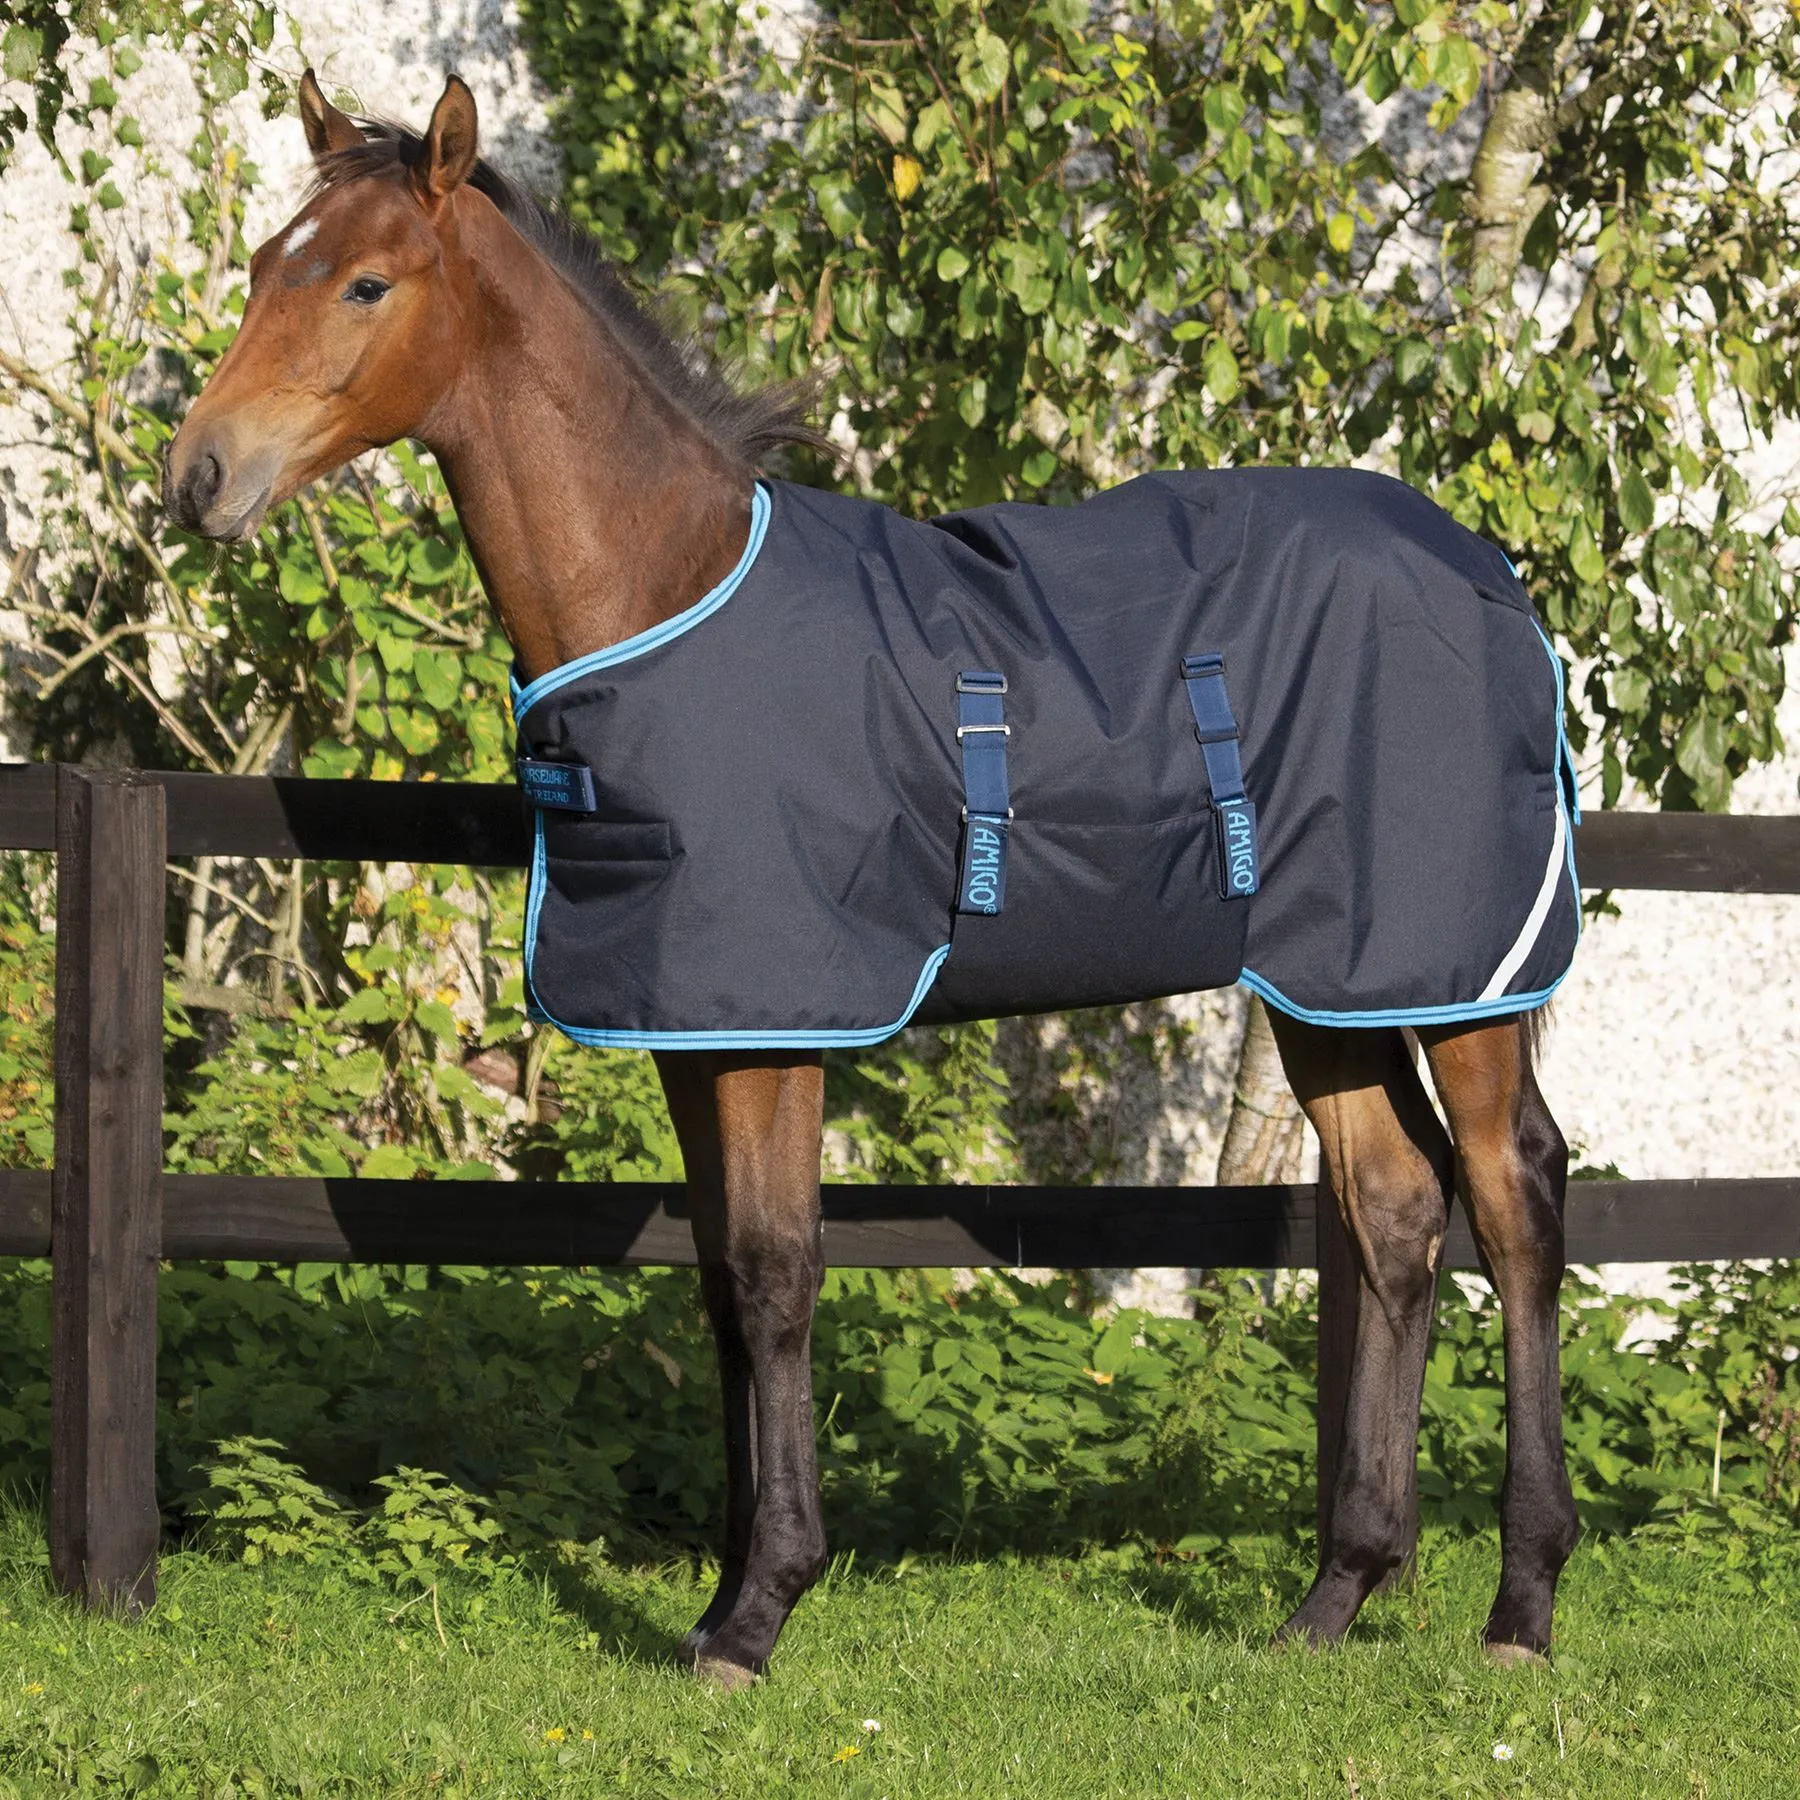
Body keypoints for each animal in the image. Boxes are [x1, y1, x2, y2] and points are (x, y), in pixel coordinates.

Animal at [163, 72, 1581, 1686]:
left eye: (366, 283)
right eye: (265, 263)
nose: (198, 477)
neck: (666, 589)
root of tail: (1490, 572)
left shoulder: (782, 1026)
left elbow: (779, 1273)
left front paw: (762, 1610)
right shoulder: (697, 1028)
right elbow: (720, 1285)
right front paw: (722, 1595)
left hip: (1459, 976)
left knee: (1514, 1199)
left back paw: (1521, 1604)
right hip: (1330, 984)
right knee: (1397, 1210)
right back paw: (1334, 1598)